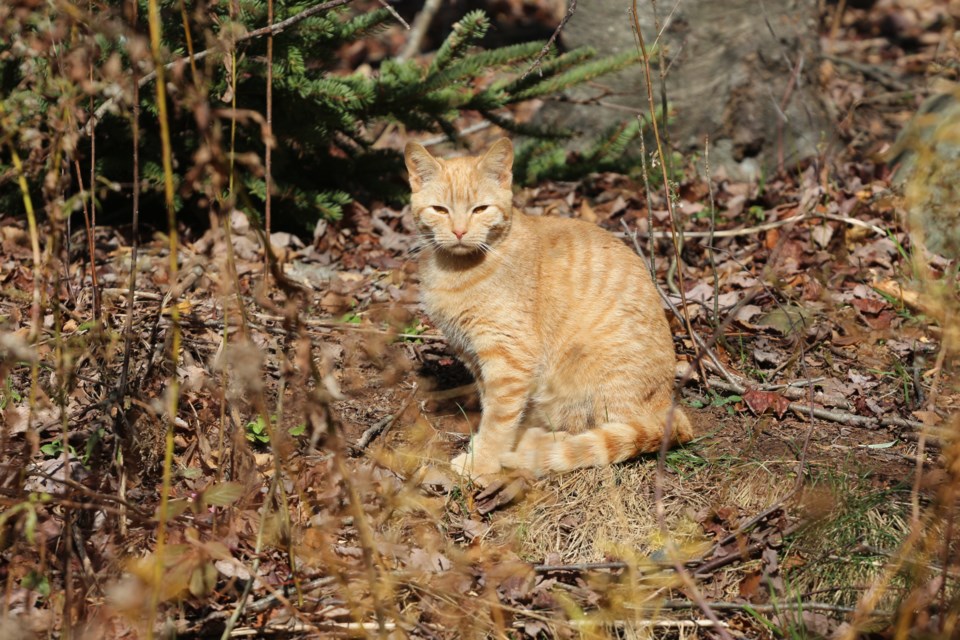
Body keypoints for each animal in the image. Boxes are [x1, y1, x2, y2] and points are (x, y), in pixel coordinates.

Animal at [404, 138, 688, 478]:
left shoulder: (509, 358)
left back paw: (526, 450)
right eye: (440, 210)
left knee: (592, 433)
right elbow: (490, 407)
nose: (459, 231)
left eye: (480, 209)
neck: (456, 269)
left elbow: (498, 420)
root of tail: (667, 404)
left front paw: (482, 463)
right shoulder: (475, 356)